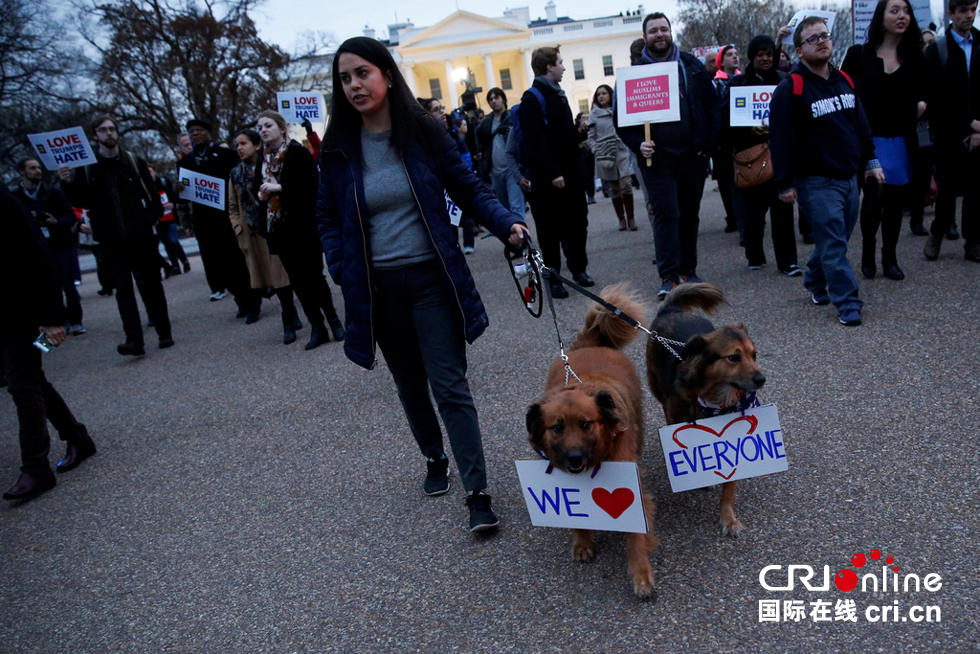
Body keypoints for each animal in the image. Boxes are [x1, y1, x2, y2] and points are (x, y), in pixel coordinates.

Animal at [520, 284, 660, 596]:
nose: (574, 458)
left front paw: (641, 575)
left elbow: (636, 535)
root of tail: (587, 344)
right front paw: (582, 541)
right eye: (557, 428)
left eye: (586, 425)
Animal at [648, 284, 768, 540]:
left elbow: (729, 488)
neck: (714, 398)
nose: (761, 379)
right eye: (733, 357)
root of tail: (670, 310)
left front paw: (728, 519)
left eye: (754, 355)